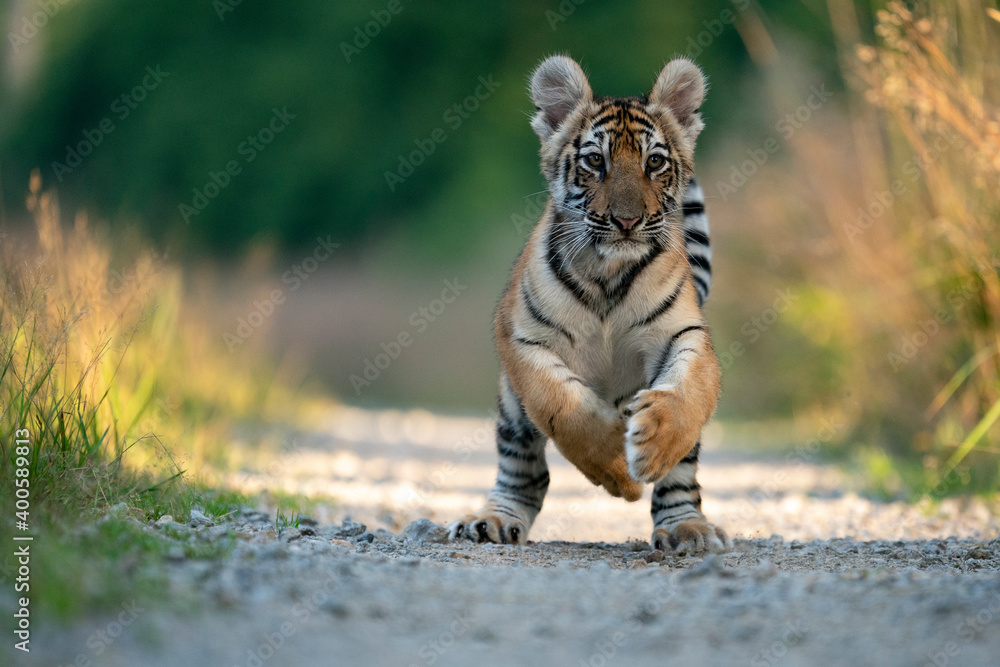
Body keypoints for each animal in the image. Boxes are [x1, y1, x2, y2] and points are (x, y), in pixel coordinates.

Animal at [449, 55, 729, 554]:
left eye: (654, 162)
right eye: (595, 161)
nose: (627, 220)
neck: (608, 274)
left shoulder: (682, 334)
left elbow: (686, 395)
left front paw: (650, 446)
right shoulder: (522, 337)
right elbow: (562, 404)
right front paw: (619, 472)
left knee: (681, 478)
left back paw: (687, 529)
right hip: (512, 411)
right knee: (523, 470)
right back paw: (492, 521)